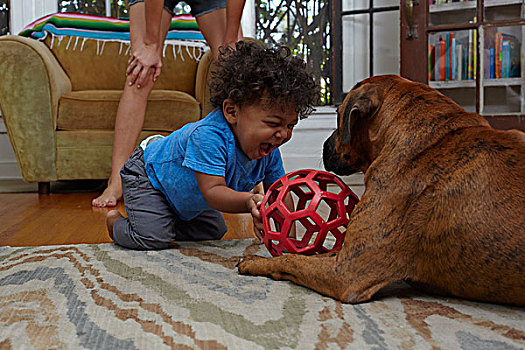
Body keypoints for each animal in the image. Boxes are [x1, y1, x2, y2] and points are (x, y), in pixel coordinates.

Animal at [237, 74, 524, 306]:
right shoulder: (348, 253)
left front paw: (255, 261)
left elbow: (291, 259)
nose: (324, 145)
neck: (430, 142)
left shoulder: (346, 272)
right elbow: (316, 252)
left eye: (339, 116)